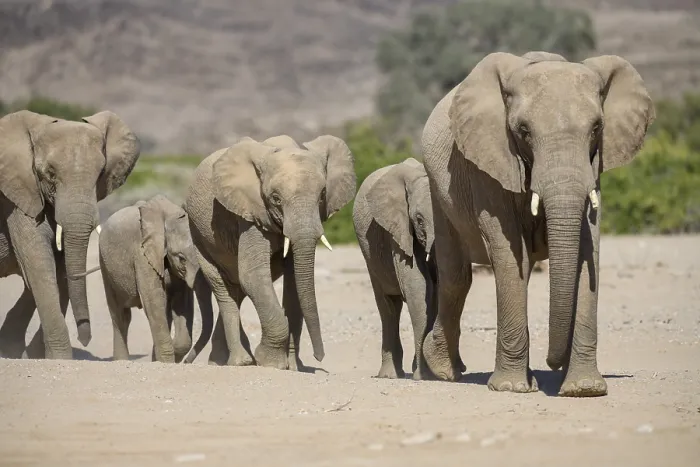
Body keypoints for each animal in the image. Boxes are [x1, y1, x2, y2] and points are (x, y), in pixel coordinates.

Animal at [0, 110, 141, 359]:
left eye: (100, 174)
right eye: (49, 174)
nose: (85, 339)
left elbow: (54, 268)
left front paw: (38, 356)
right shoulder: (16, 195)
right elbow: (39, 264)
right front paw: (59, 358)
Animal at [85, 195, 214, 363]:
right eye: (181, 258)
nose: (187, 362)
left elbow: (181, 301)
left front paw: (170, 356)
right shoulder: (142, 254)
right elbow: (153, 299)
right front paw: (165, 362)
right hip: (105, 265)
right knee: (120, 315)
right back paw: (122, 361)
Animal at [185, 134, 356, 370]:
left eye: (322, 195)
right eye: (276, 198)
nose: (319, 357)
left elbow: (294, 281)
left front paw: (293, 367)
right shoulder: (250, 213)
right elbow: (253, 275)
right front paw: (270, 362)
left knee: (237, 289)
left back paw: (223, 360)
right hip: (198, 235)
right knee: (223, 288)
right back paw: (239, 362)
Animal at [353, 157, 465, 380]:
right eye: (419, 220)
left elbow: (434, 290)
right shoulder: (396, 227)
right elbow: (417, 284)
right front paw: (425, 376)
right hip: (369, 255)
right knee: (388, 306)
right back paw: (389, 375)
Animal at [420, 51, 655, 397]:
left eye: (597, 127)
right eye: (523, 130)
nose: (553, 364)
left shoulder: (593, 167)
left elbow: (588, 248)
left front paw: (584, 389)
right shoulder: (488, 164)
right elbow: (508, 251)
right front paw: (512, 388)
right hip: (439, 190)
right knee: (456, 276)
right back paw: (444, 371)